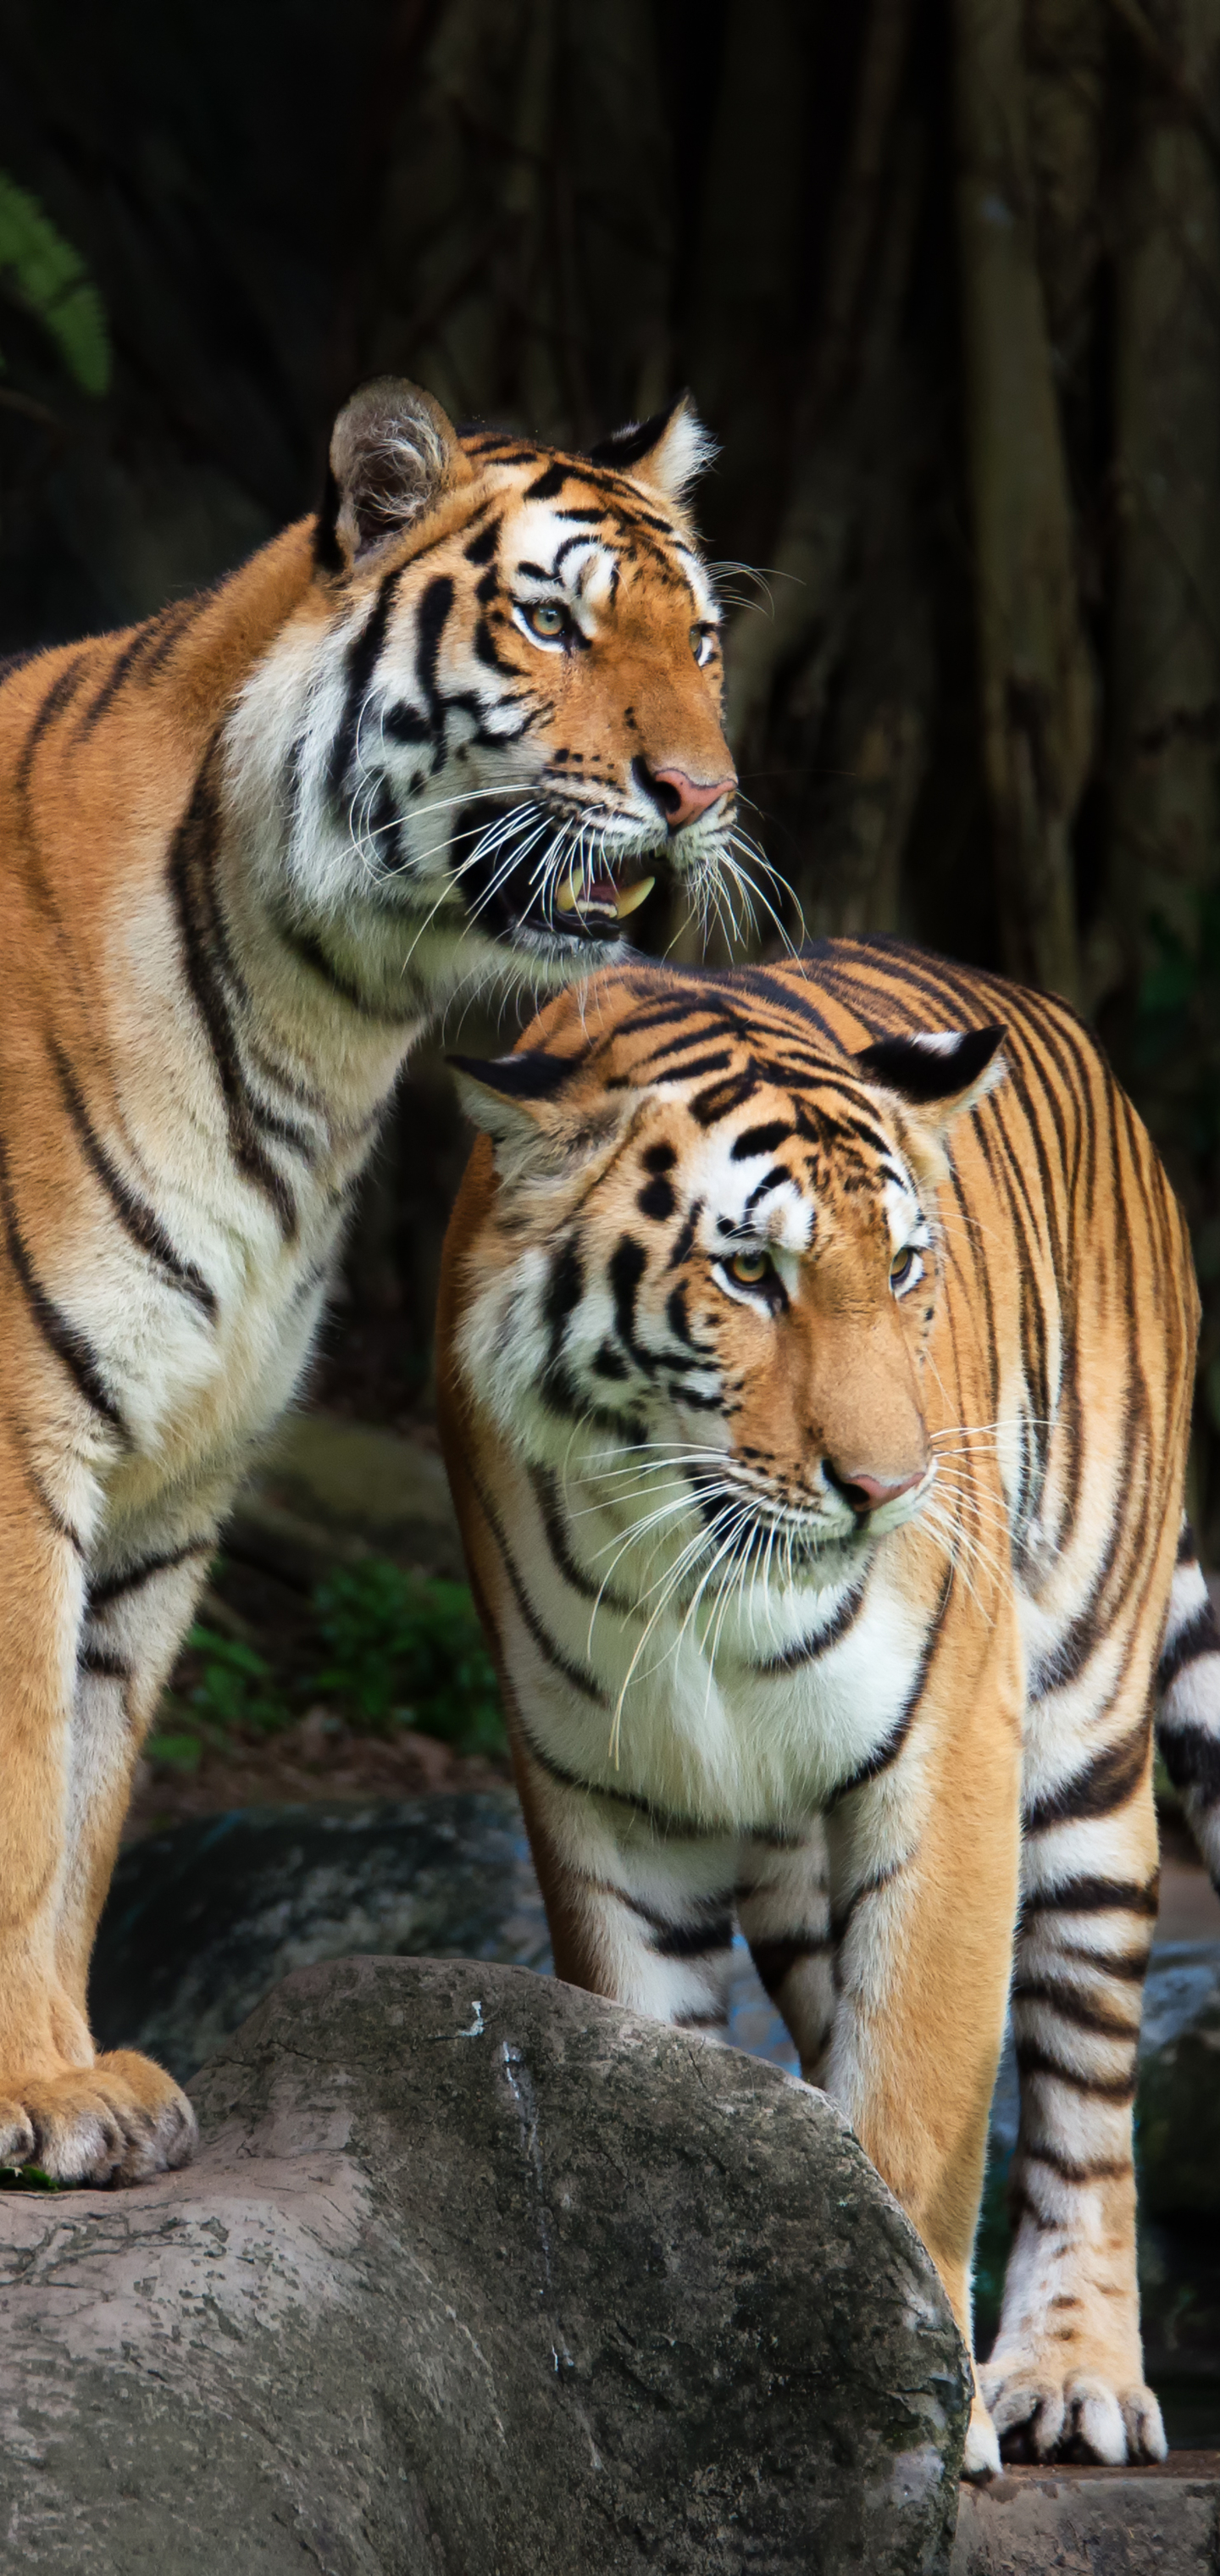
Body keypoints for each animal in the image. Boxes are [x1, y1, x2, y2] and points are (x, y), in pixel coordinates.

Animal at [0, 375, 735, 2195]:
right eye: (551, 621)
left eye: (697, 639)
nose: (702, 792)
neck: (321, 1023)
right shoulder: (22, 1441)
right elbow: (20, 1779)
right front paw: (30, 2092)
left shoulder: (174, 1475)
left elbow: (84, 1800)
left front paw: (78, 2077)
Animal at [432, 942, 1220, 2473]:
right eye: (750, 1272)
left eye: (906, 1267)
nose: (893, 1487)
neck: (693, 1569)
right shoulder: (600, 1799)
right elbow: (661, 2088)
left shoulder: (952, 1763)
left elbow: (915, 2104)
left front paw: (917, 2428)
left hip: (1086, 1732)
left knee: (1085, 2086)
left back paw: (1074, 2375)